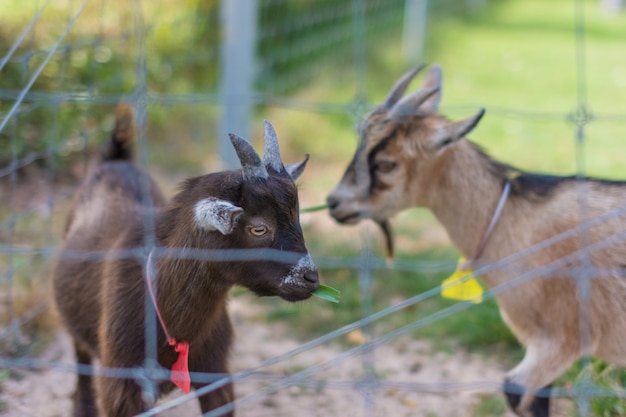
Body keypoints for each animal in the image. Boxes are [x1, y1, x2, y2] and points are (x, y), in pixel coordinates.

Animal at [51, 105, 320, 416]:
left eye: (297, 217)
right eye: (258, 228)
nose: (311, 278)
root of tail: (115, 160)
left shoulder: (215, 371)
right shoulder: (122, 387)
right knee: (81, 359)